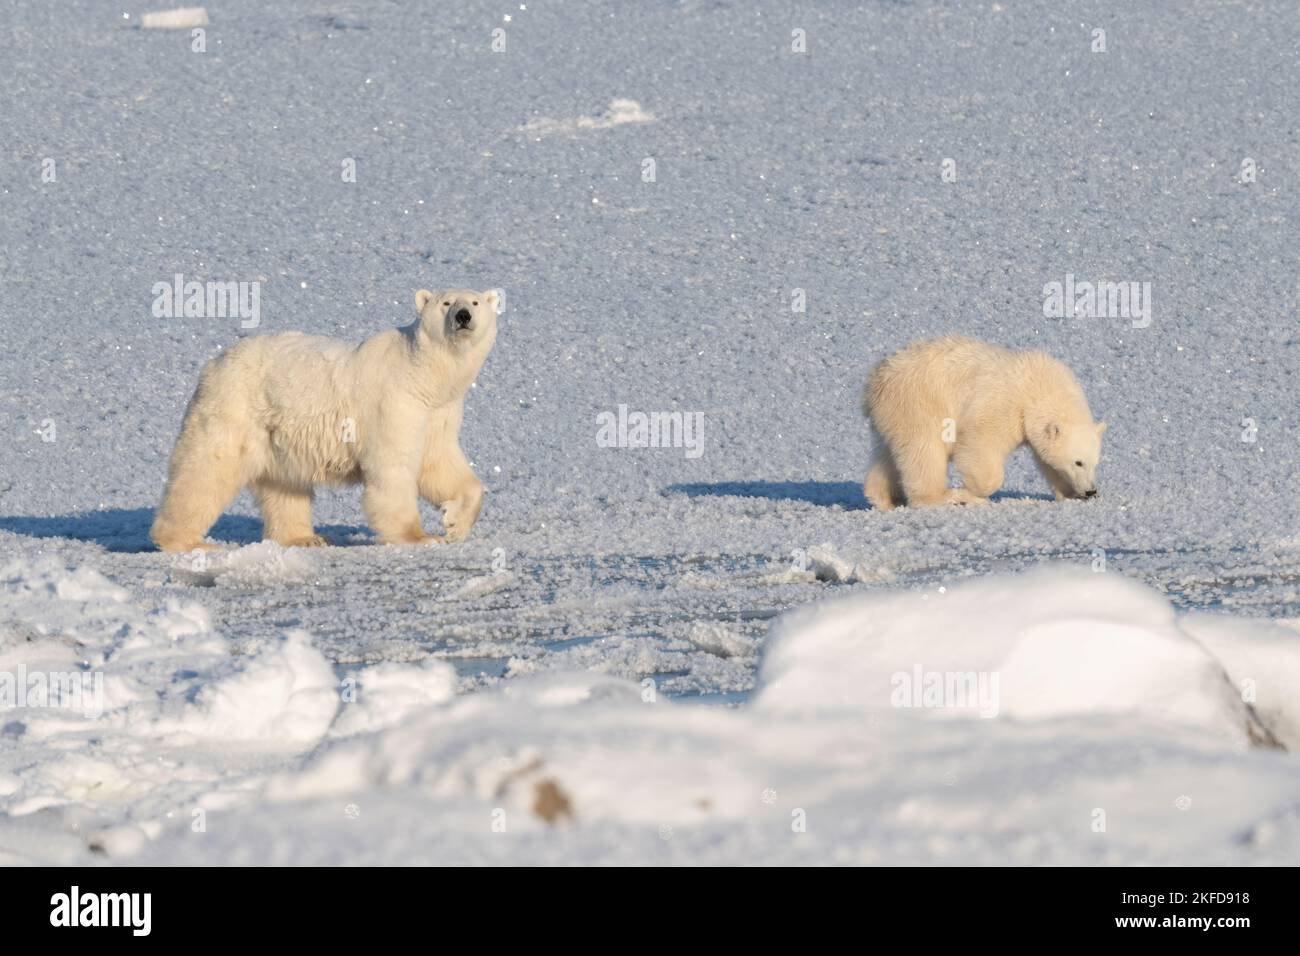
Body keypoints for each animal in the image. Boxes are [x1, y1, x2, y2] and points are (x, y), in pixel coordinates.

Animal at [149, 286, 499, 554]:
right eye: (446, 303)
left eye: (475, 302)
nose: (463, 316)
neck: (422, 376)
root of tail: (215, 362)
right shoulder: (392, 404)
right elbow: (394, 469)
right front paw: (420, 537)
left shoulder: (438, 412)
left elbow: (441, 465)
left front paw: (454, 523)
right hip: (235, 407)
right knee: (207, 469)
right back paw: (187, 541)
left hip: (275, 431)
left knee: (284, 486)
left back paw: (305, 538)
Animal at [863, 340, 1107, 512]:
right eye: (1078, 462)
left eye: (1094, 463)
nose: (1091, 490)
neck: (1037, 386)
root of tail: (874, 382)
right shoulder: (1003, 407)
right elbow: (979, 446)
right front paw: (972, 493)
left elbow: (1047, 460)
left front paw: (1069, 493)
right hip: (918, 404)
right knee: (924, 453)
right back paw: (945, 498)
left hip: (893, 415)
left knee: (889, 455)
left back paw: (884, 498)